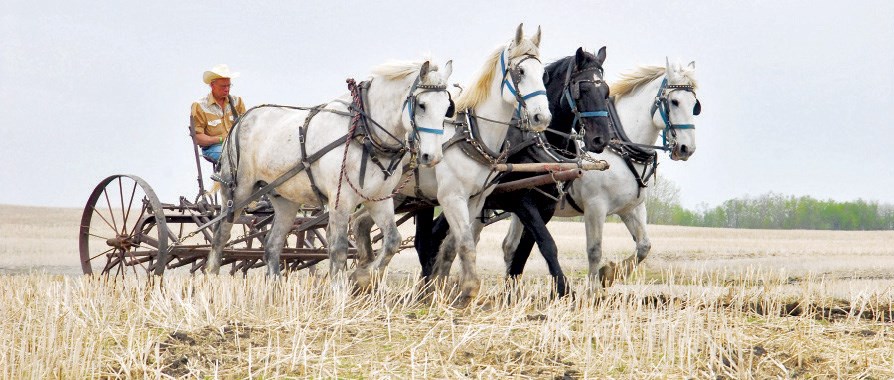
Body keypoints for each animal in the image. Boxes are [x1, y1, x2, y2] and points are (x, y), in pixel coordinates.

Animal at [205, 60, 456, 284]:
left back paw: (275, 288)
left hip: (285, 199)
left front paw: (363, 277)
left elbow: (393, 240)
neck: (364, 133)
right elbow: (338, 248)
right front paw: (340, 289)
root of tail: (241, 119)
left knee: (272, 244)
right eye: (422, 104)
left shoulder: (380, 198)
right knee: (220, 234)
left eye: (447, 107)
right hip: (238, 191)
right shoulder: (340, 199)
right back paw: (211, 280)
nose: (432, 156)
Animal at [352, 23, 548, 306]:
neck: (472, 134)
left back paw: (363, 274)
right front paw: (467, 291)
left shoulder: (476, 199)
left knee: (359, 222)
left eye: (543, 72)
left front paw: (445, 289)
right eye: (520, 71)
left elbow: (454, 245)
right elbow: (465, 242)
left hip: (392, 196)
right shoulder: (452, 197)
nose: (542, 117)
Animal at [414, 48, 612, 296]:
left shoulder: (546, 206)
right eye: (582, 89)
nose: (600, 140)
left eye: (606, 91)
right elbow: (547, 244)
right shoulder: (521, 201)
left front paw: (511, 292)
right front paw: (564, 290)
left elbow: (524, 250)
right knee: (424, 240)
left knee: (434, 236)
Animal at [504, 58, 700, 290]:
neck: (619, 148)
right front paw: (593, 290)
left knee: (509, 246)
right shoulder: (595, 207)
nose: (687, 148)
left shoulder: (632, 208)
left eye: (695, 104)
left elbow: (644, 246)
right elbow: (594, 251)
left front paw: (610, 273)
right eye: (675, 102)